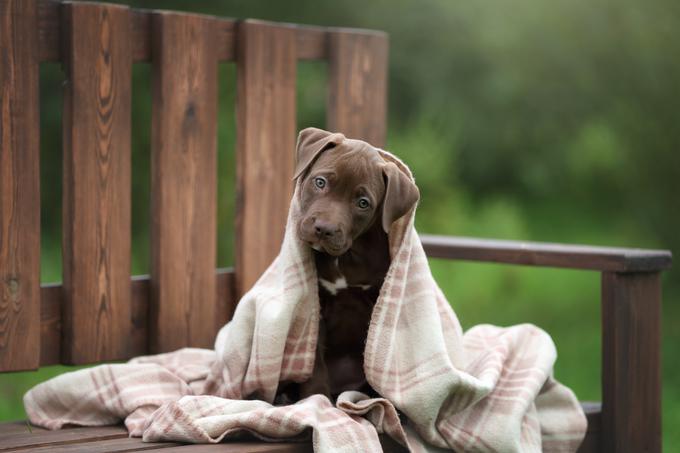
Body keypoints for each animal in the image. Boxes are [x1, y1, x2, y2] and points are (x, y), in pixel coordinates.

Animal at [288, 128, 418, 400]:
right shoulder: (317, 308)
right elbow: (315, 362)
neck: (346, 258)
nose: (324, 229)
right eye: (320, 182)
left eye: (363, 203)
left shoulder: (377, 305)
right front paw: (315, 400)